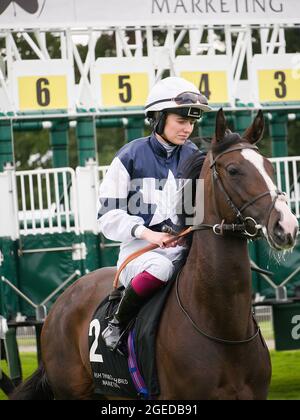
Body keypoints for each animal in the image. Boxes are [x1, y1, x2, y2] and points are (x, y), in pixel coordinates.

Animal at [10, 109, 298, 400]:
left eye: (270, 167)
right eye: (233, 170)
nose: (286, 226)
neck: (224, 328)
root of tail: (60, 302)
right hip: (71, 391)